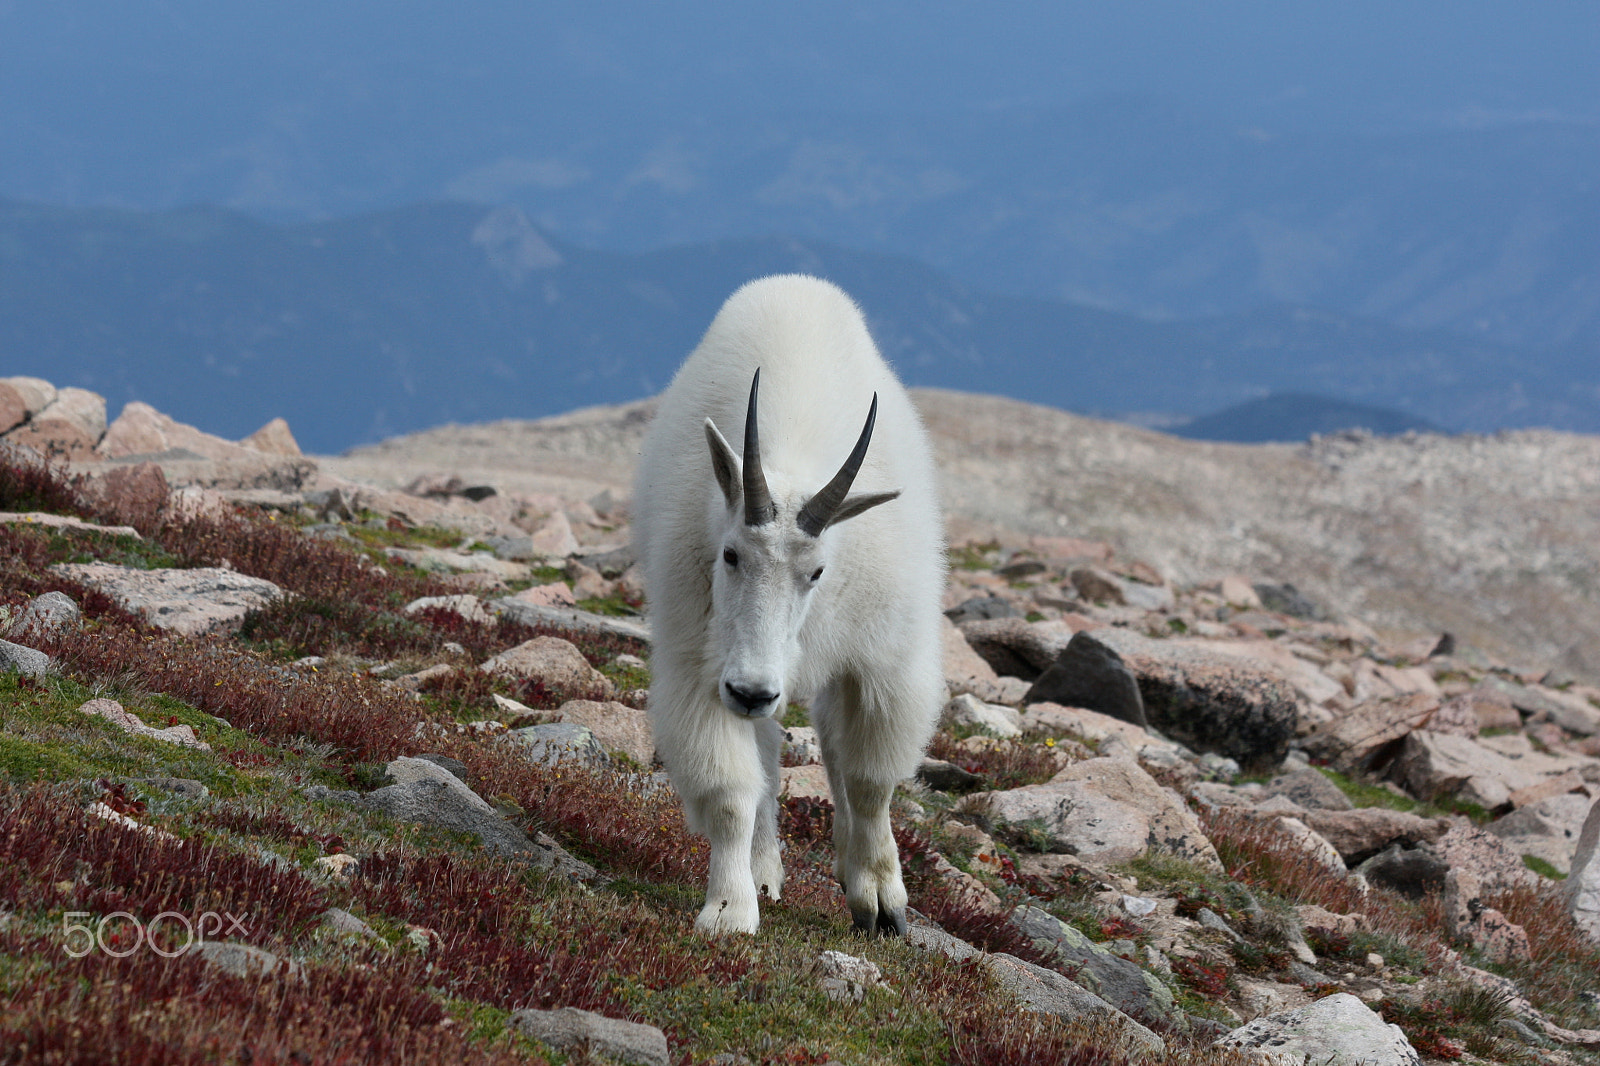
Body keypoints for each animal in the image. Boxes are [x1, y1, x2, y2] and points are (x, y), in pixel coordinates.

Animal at [632, 274, 946, 936]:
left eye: (818, 572)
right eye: (728, 554)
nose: (753, 692)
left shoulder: (885, 664)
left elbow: (869, 779)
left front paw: (882, 901)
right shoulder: (702, 667)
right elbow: (731, 793)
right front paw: (729, 911)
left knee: (830, 742)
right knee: (771, 753)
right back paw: (765, 871)